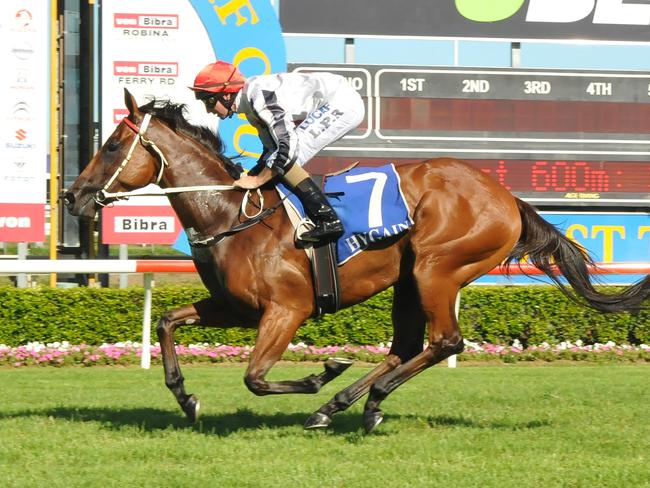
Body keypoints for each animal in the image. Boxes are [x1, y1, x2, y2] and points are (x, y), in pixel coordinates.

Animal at [63, 89, 644, 432]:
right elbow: (165, 320)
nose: (73, 197)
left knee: (444, 341)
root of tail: (506, 196)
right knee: (408, 346)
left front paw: (322, 372)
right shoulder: (235, 308)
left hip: (437, 268)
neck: (232, 213)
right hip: (409, 279)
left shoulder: (287, 309)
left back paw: (349, 398)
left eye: (112, 146)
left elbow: (255, 376)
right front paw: (186, 399)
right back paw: (351, 404)